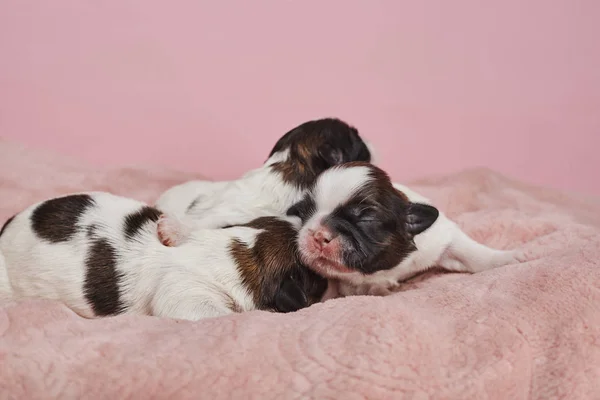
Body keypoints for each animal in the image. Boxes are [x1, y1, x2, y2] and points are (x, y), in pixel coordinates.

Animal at [286, 162, 520, 296]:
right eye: (304, 212)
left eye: (365, 219)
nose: (317, 235)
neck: (385, 267)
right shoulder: (347, 284)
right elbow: (362, 287)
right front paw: (378, 288)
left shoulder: (441, 237)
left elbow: (473, 253)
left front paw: (508, 259)